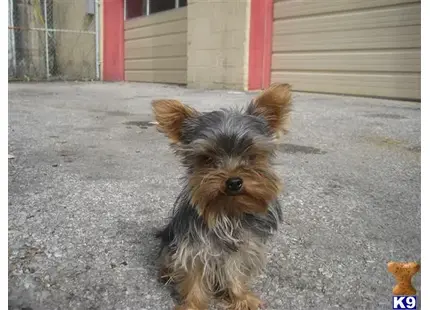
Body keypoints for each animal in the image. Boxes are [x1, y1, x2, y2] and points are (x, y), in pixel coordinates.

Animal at [151, 83, 292, 308]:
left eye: (251, 155)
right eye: (207, 159)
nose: (234, 182)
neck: (228, 211)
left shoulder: (243, 247)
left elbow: (234, 272)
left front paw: (241, 298)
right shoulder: (194, 247)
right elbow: (194, 277)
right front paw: (192, 305)